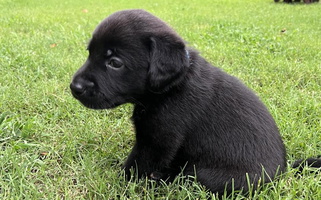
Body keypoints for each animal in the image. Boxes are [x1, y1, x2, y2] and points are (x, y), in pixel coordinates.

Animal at [69, 9, 318, 195]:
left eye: (115, 62)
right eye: (90, 53)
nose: (75, 87)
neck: (172, 85)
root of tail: (283, 172)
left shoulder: (157, 140)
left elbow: (137, 165)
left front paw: (121, 183)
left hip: (207, 175)